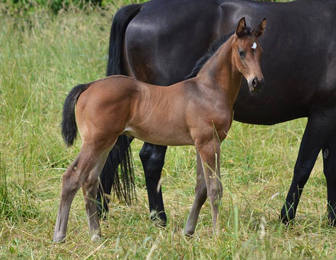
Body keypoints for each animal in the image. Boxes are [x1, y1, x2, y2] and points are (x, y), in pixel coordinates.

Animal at [53, 17, 266, 242]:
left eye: (260, 51)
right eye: (241, 52)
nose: (257, 82)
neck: (208, 90)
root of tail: (88, 86)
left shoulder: (201, 143)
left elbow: (201, 187)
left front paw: (188, 231)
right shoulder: (209, 142)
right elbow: (214, 188)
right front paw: (217, 235)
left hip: (105, 142)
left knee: (90, 181)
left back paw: (96, 235)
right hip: (95, 142)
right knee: (72, 178)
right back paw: (60, 235)